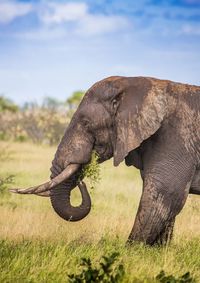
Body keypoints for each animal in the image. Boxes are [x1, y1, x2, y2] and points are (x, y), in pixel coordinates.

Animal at [10, 77, 200, 246]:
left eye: (86, 123)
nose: (82, 181)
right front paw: (159, 251)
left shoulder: (176, 137)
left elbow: (166, 194)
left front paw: (131, 251)